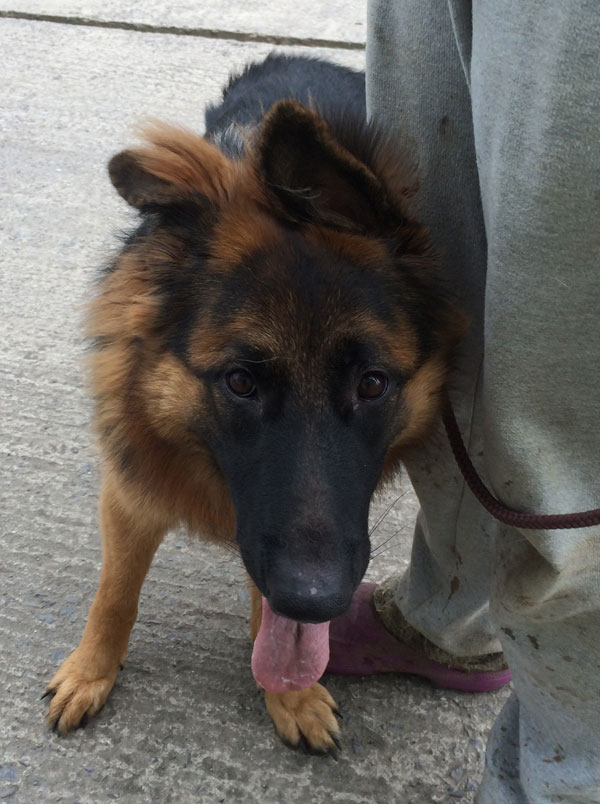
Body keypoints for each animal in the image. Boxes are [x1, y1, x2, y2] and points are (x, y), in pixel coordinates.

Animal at [44, 55, 464, 752]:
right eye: (241, 382)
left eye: (372, 384)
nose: (316, 600)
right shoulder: (131, 493)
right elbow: (115, 594)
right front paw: (90, 671)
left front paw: (290, 696)